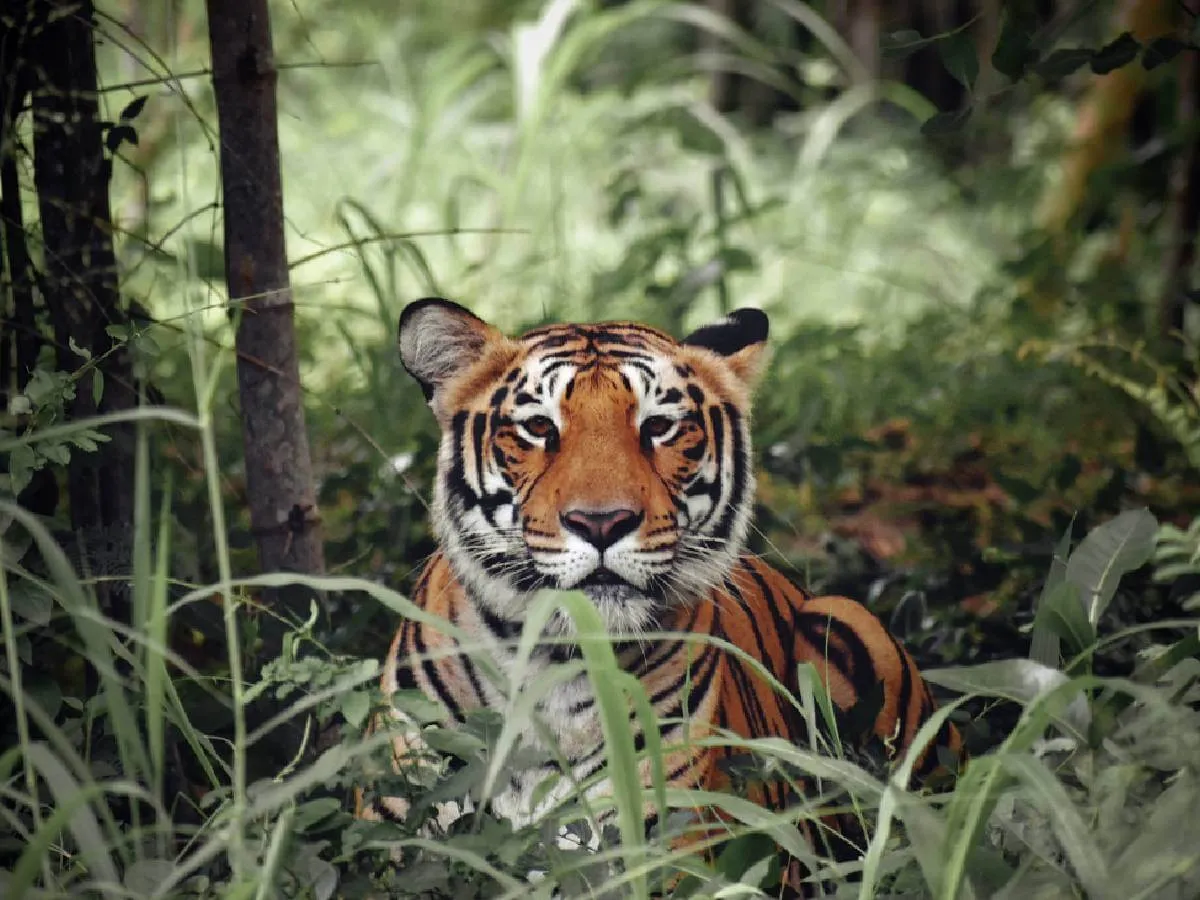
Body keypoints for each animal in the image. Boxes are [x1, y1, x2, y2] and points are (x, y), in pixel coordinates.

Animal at [355, 297, 964, 897]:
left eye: (660, 427)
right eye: (538, 427)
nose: (601, 522)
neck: (552, 672)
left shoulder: (680, 855)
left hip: (848, 621)